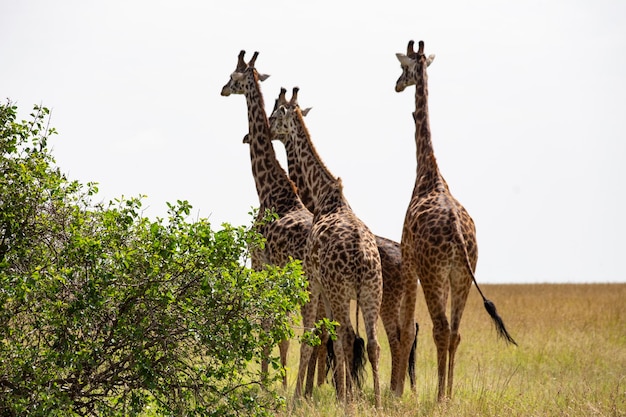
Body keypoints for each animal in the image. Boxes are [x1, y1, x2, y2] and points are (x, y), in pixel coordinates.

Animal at [222, 50, 314, 388]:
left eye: (232, 76)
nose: (222, 89)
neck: (268, 188)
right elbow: (278, 330)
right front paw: (277, 384)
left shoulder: (259, 262)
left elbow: (267, 325)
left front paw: (265, 386)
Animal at [266, 86, 416, 392]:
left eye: (275, 115)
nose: (265, 128)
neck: (326, 196)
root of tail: (361, 261)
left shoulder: (312, 279)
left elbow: (313, 336)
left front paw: (302, 395)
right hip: (371, 292)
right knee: (373, 344)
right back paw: (378, 398)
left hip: (345, 292)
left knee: (351, 337)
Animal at [392, 39, 516, 400]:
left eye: (402, 68)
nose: (396, 85)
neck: (427, 170)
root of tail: (460, 237)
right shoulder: (447, 276)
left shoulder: (410, 258)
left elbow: (409, 326)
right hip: (462, 274)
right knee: (456, 331)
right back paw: (447, 394)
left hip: (435, 274)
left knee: (441, 328)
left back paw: (438, 397)